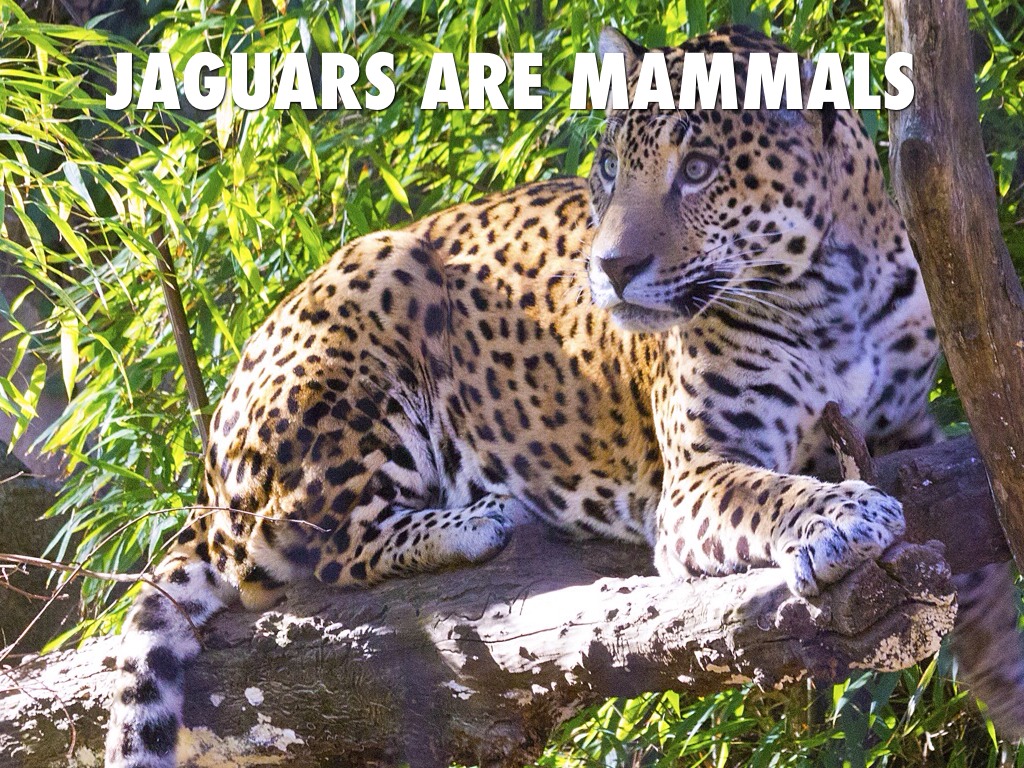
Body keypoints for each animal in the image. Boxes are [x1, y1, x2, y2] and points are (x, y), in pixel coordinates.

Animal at [105, 25, 1024, 767]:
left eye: (699, 171)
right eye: (612, 166)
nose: (609, 267)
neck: (831, 291)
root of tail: (207, 477)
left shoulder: (912, 430)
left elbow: (978, 552)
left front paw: (1002, 680)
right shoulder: (699, 476)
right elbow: (777, 492)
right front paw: (845, 515)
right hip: (375, 281)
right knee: (307, 548)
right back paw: (476, 519)